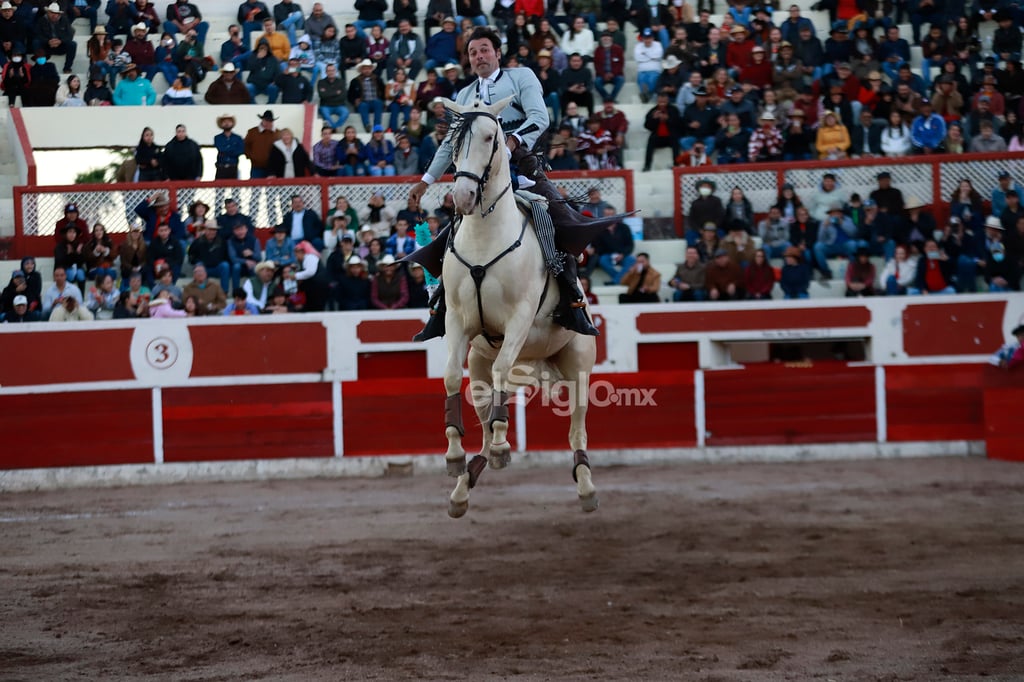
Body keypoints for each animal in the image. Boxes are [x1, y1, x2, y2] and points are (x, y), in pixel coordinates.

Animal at [436, 96, 598, 516]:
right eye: (453, 142)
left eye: (490, 137)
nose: (463, 196)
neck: (484, 239)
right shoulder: (457, 320)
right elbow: (450, 377)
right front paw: (454, 455)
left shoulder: (519, 319)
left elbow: (504, 372)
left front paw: (502, 445)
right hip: (478, 364)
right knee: (482, 401)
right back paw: (463, 485)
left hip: (578, 364)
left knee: (577, 427)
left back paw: (587, 488)